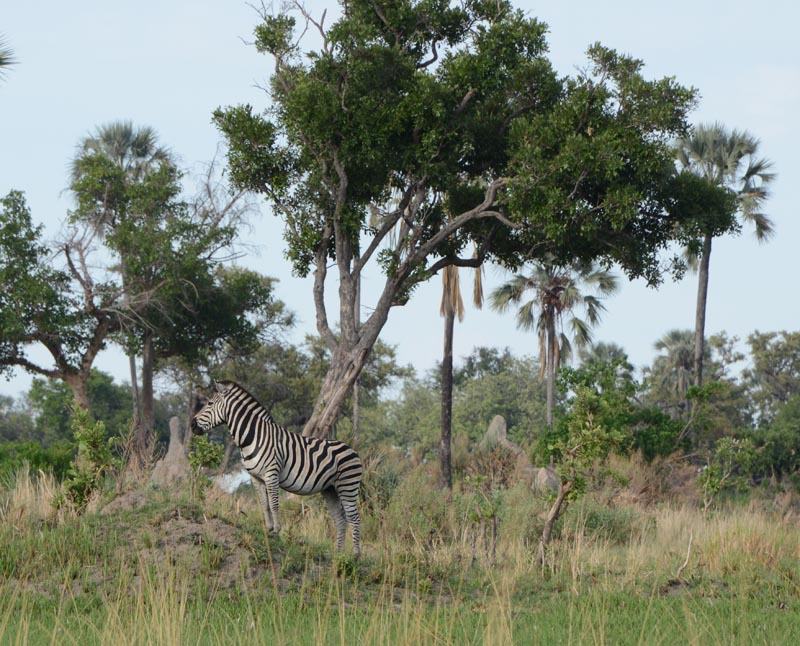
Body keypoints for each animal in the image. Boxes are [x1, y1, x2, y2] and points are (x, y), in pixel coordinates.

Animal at [190, 380, 363, 557]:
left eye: (210, 404)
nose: (192, 424)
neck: (253, 437)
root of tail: (353, 450)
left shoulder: (271, 474)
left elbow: (274, 504)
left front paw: (277, 531)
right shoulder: (256, 477)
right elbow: (264, 504)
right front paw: (268, 529)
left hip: (347, 485)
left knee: (354, 518)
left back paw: (355, 555)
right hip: (330, 489)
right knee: (340, 520)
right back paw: (338, 555)